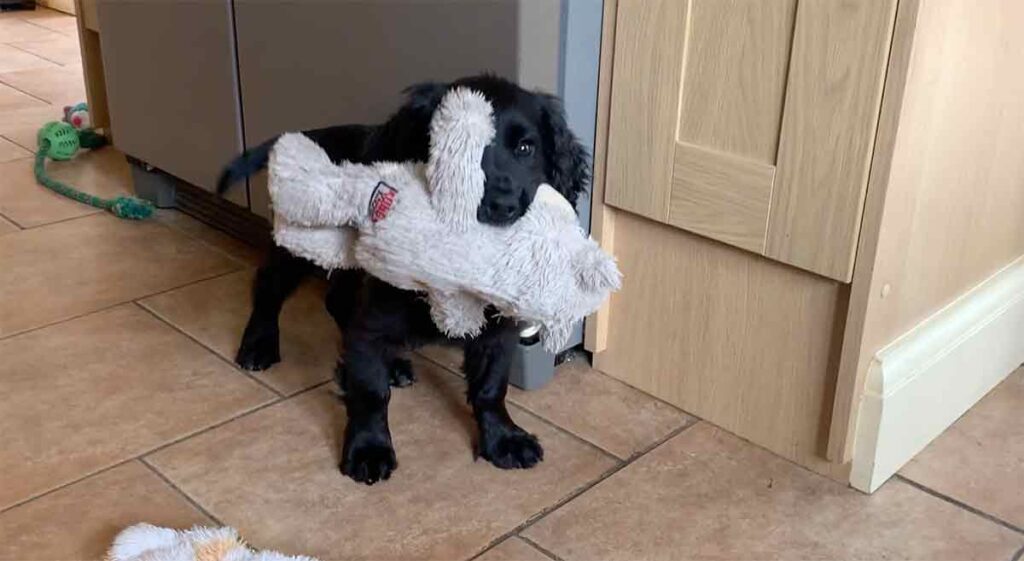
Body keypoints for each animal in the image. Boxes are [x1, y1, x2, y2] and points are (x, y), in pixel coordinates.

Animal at [220, 75, 589, 487]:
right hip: (298, 244)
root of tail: (318, 133)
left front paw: (503, 438)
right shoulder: (375, 317)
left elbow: (491, 386)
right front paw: (369, 448)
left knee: (338, 302)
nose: (502, 207)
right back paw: (258, 345)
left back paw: (393, 363)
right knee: (269, 288)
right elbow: (370, 390)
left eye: (525, 148)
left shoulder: (497, 331)